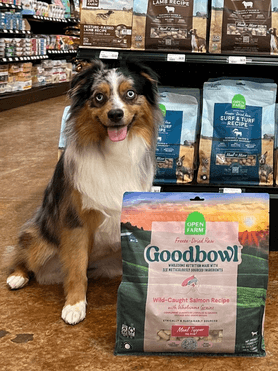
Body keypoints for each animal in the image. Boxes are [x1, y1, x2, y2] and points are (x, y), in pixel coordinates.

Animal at [5, 60, 163, 326]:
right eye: (99, 97)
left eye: (130, 94)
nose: (115, 114)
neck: (114, 150)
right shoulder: (75, 222)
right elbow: (77, 269)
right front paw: (74, 305)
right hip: (41, 238)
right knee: (23, 253)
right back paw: (17, 276)